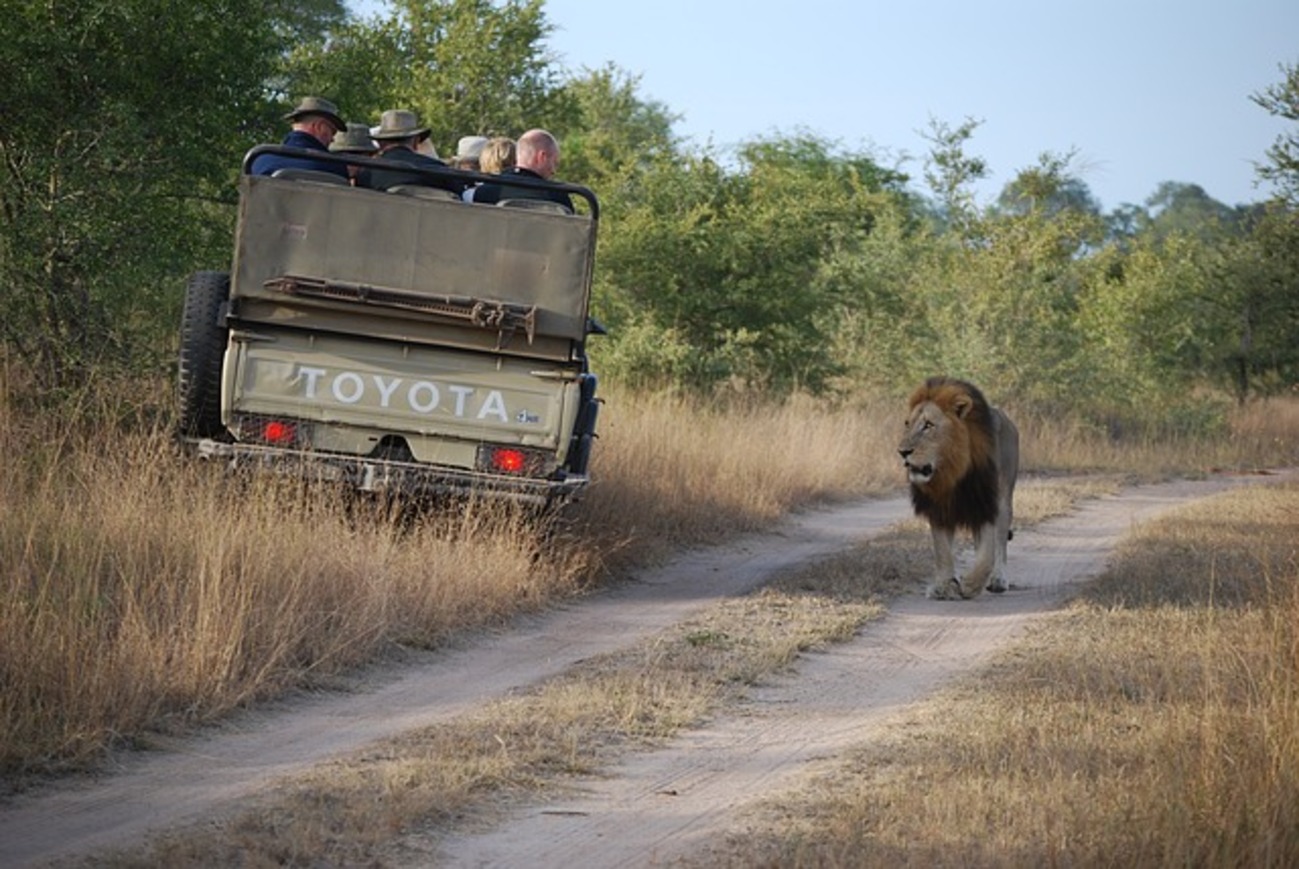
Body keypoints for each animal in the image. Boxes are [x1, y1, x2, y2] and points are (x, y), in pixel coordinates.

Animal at [898, 376, 1018, 600]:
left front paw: (971, 584)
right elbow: (942, 551)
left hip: (1004, 500)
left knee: (999, 542)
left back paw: (998, 580)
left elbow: (988, 552)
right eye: (907, 424)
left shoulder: (986, 502)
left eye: (928, 425)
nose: (902, 452)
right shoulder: (938, 507)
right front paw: (944, 586)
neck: (953, 471)